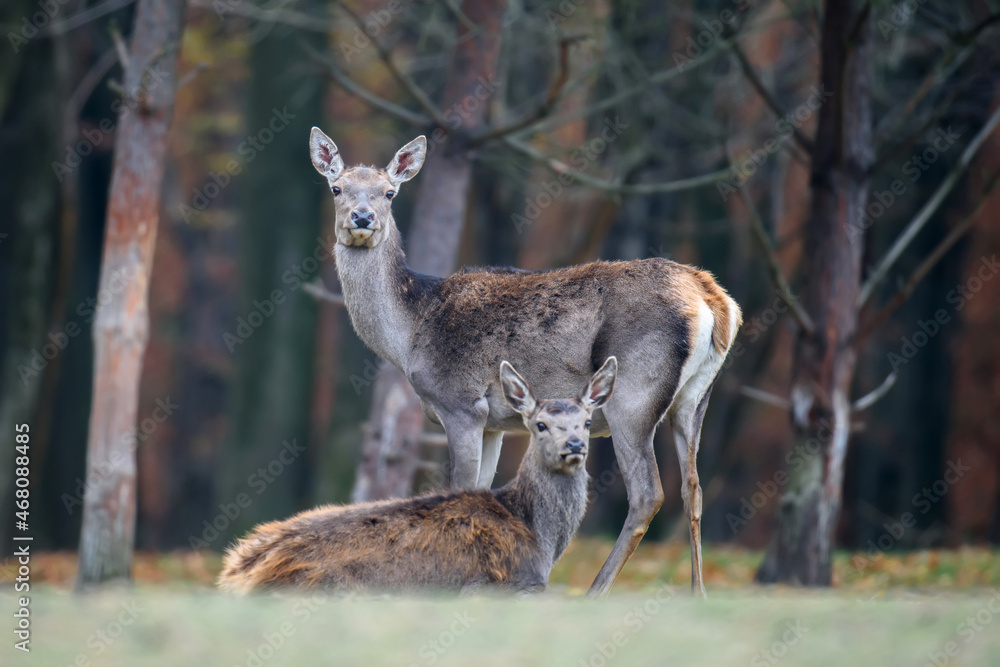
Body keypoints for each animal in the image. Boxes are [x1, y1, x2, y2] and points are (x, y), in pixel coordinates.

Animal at [217, 360, 616, 596]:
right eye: (540, 425)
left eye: (587, 421)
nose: (575, 445)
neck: (539, 538)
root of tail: (233, 575)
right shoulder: (503, 587)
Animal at [312, 128, 744, 596]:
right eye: (337, 188)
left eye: (389, 192)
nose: (362, 217)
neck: (409, 335)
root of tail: (715, 301)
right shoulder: (494, 423)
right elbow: (478, 491)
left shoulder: (460, 404)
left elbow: (459, 488)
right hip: (694, 398)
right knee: (693, 488)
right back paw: (698, 593)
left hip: (633, 393)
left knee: (649, 493)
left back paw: (594, 592)